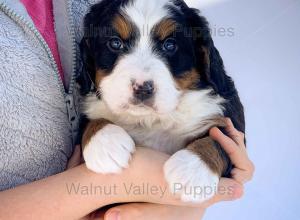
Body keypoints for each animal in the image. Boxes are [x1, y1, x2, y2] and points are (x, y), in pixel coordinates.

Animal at [77, 0, 244, 203]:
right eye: (115, 43)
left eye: (170, 45)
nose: (142, 87)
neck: (150, 120)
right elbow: (90, 121)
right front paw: (106, 145)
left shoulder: (226, 114)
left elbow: (220, 138)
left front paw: (192, 171)